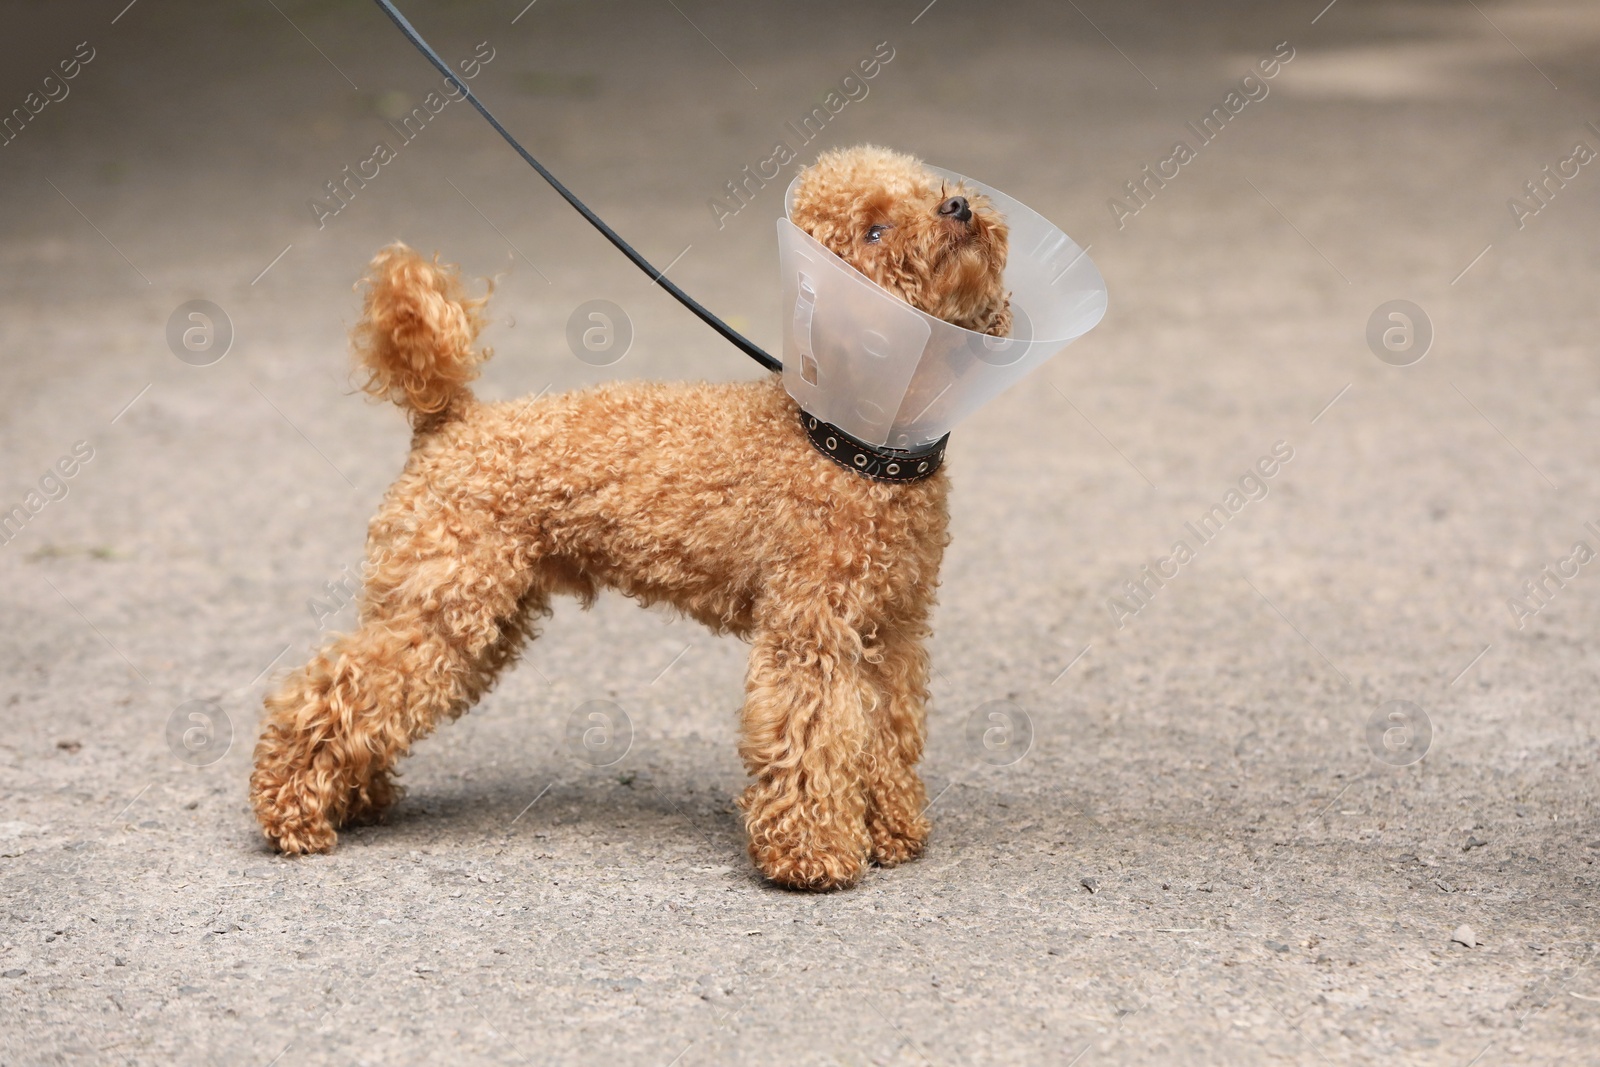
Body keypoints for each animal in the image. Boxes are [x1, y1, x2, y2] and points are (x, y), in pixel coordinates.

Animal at [251, 143, 1011, 895]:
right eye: (875, 230)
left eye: (926, 186)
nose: (958, 205)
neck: (848, 442)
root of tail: (451, 420)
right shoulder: (811, 632)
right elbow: (812, 735)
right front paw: (813, 854)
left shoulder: (891, 634)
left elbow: (885, 735)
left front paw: (889, 829)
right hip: (444, 608)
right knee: (330, 690)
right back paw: (292, 811)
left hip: (479, 614)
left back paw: (353, 797)